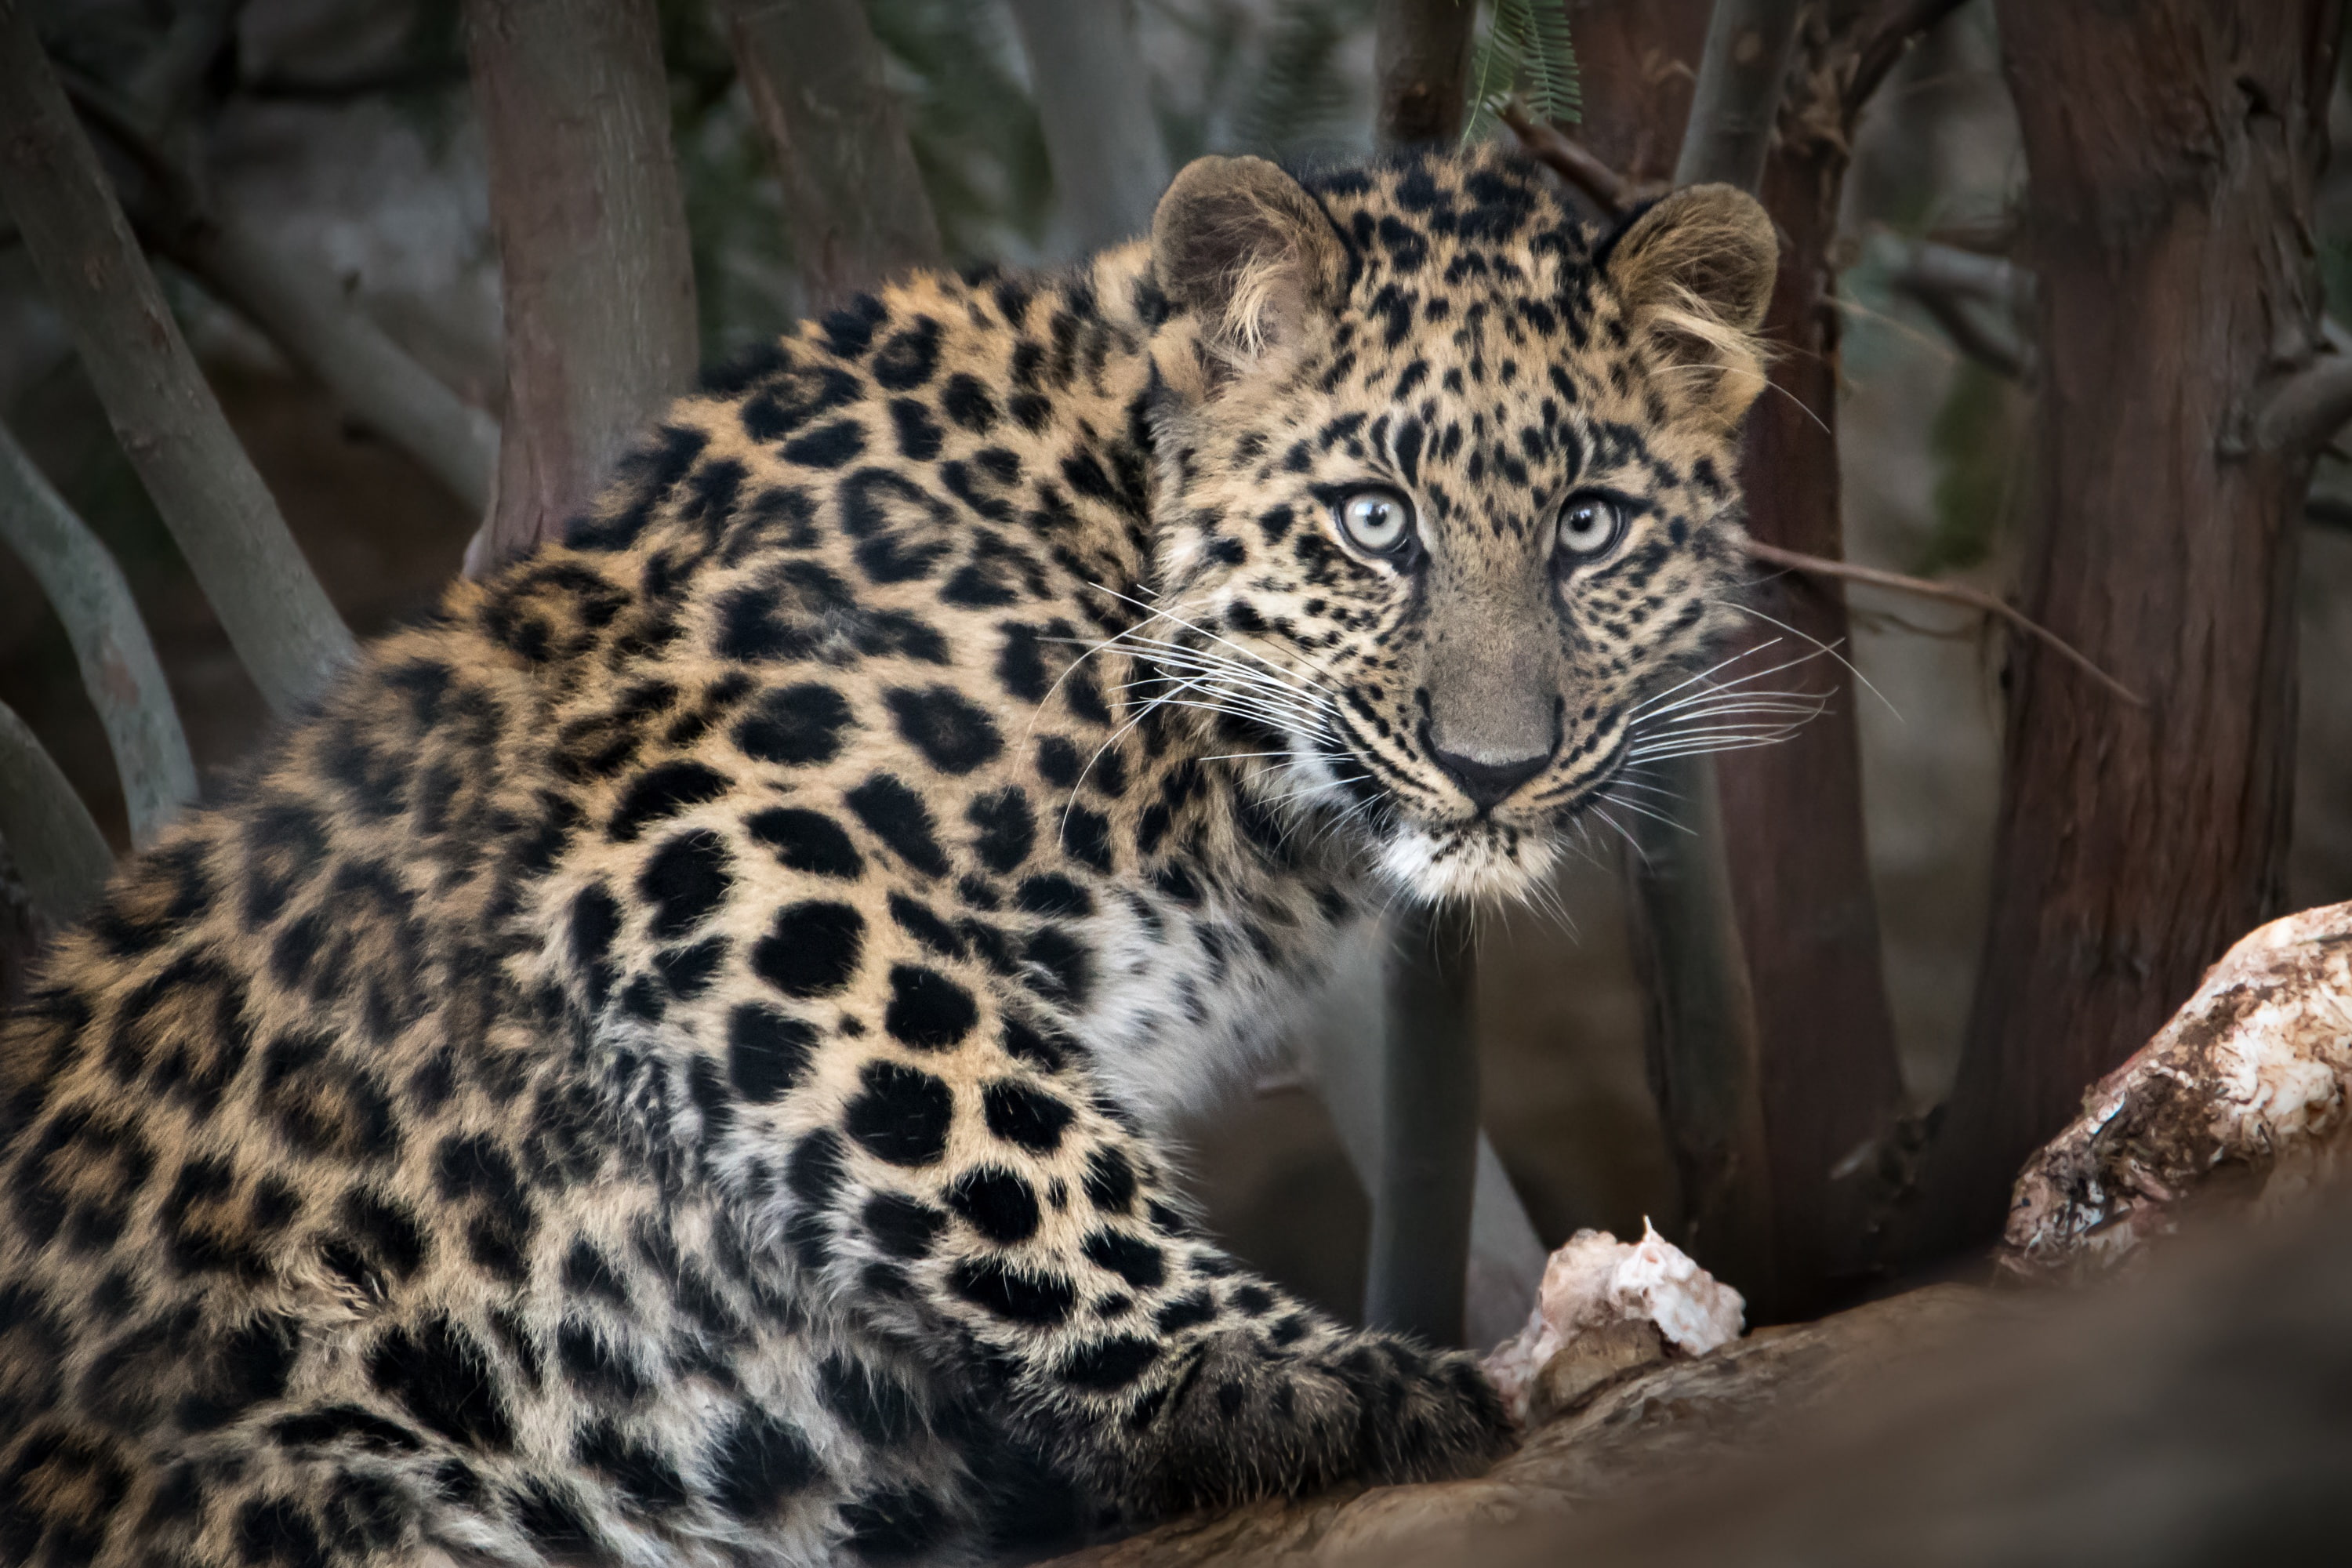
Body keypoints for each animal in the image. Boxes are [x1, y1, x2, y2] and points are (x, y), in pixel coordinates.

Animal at [0, 145, 1777, 1567]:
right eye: (1374, 520)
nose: (1496, 767)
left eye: (1591, 527)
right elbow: (1001, 1132)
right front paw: (1285, 1374)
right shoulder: (718, 836)